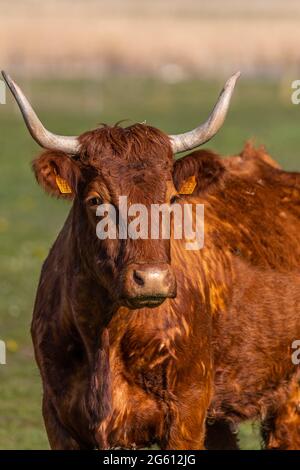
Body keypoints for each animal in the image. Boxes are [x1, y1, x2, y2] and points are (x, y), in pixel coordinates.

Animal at [3, 71, 300, 450]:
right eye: (97, 199)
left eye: (172, 198)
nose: (153, 279)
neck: (105, 335)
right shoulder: (57, 417)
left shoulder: (186, 414)